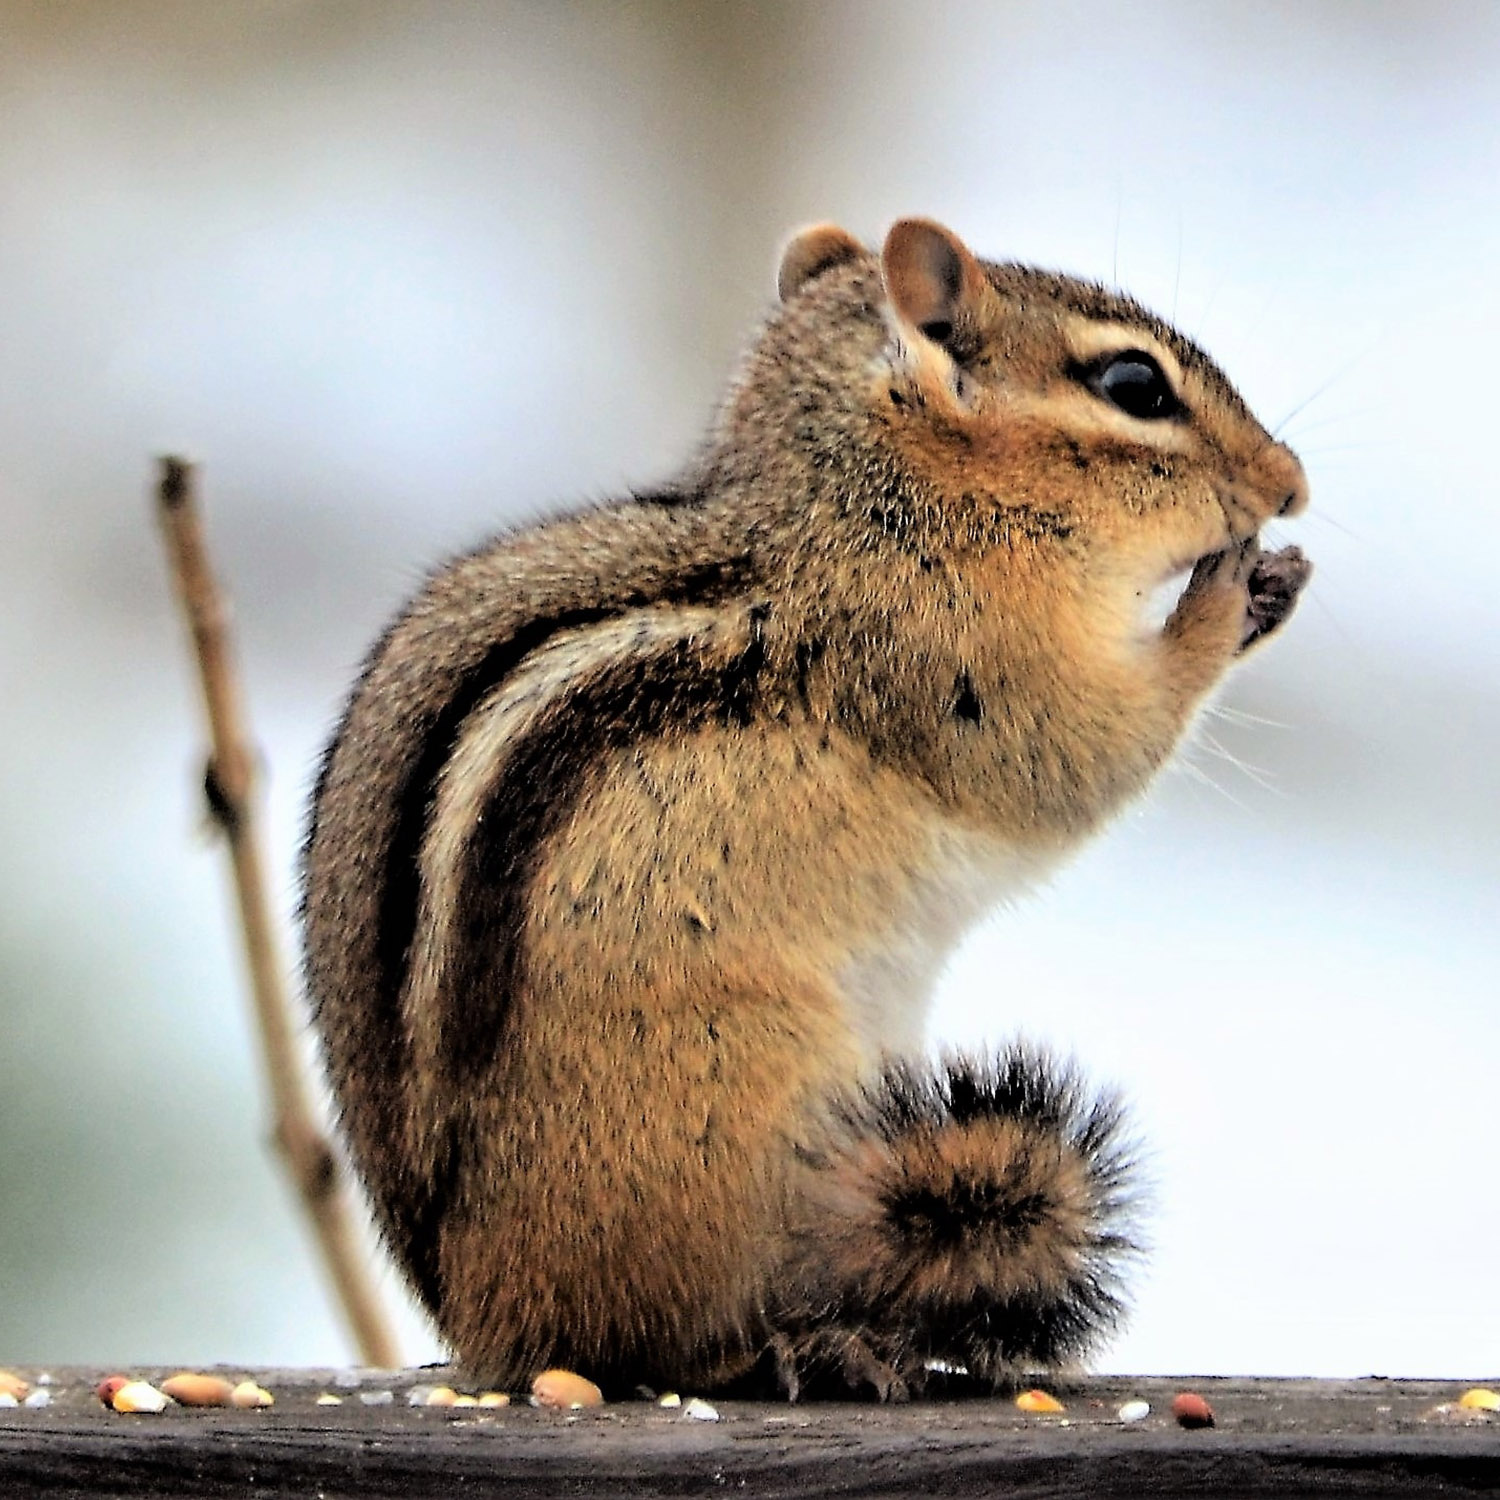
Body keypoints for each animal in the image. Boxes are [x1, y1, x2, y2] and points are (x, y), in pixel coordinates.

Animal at [302, 217, 1311, 1400]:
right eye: (1134, 386)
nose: (1290, 484)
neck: (871, 505)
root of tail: (492, 1321)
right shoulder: (959, 665)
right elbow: (1076, 757)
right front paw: (1231, 597)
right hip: (733, 1104)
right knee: (662, 1341)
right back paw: (815, 1341)